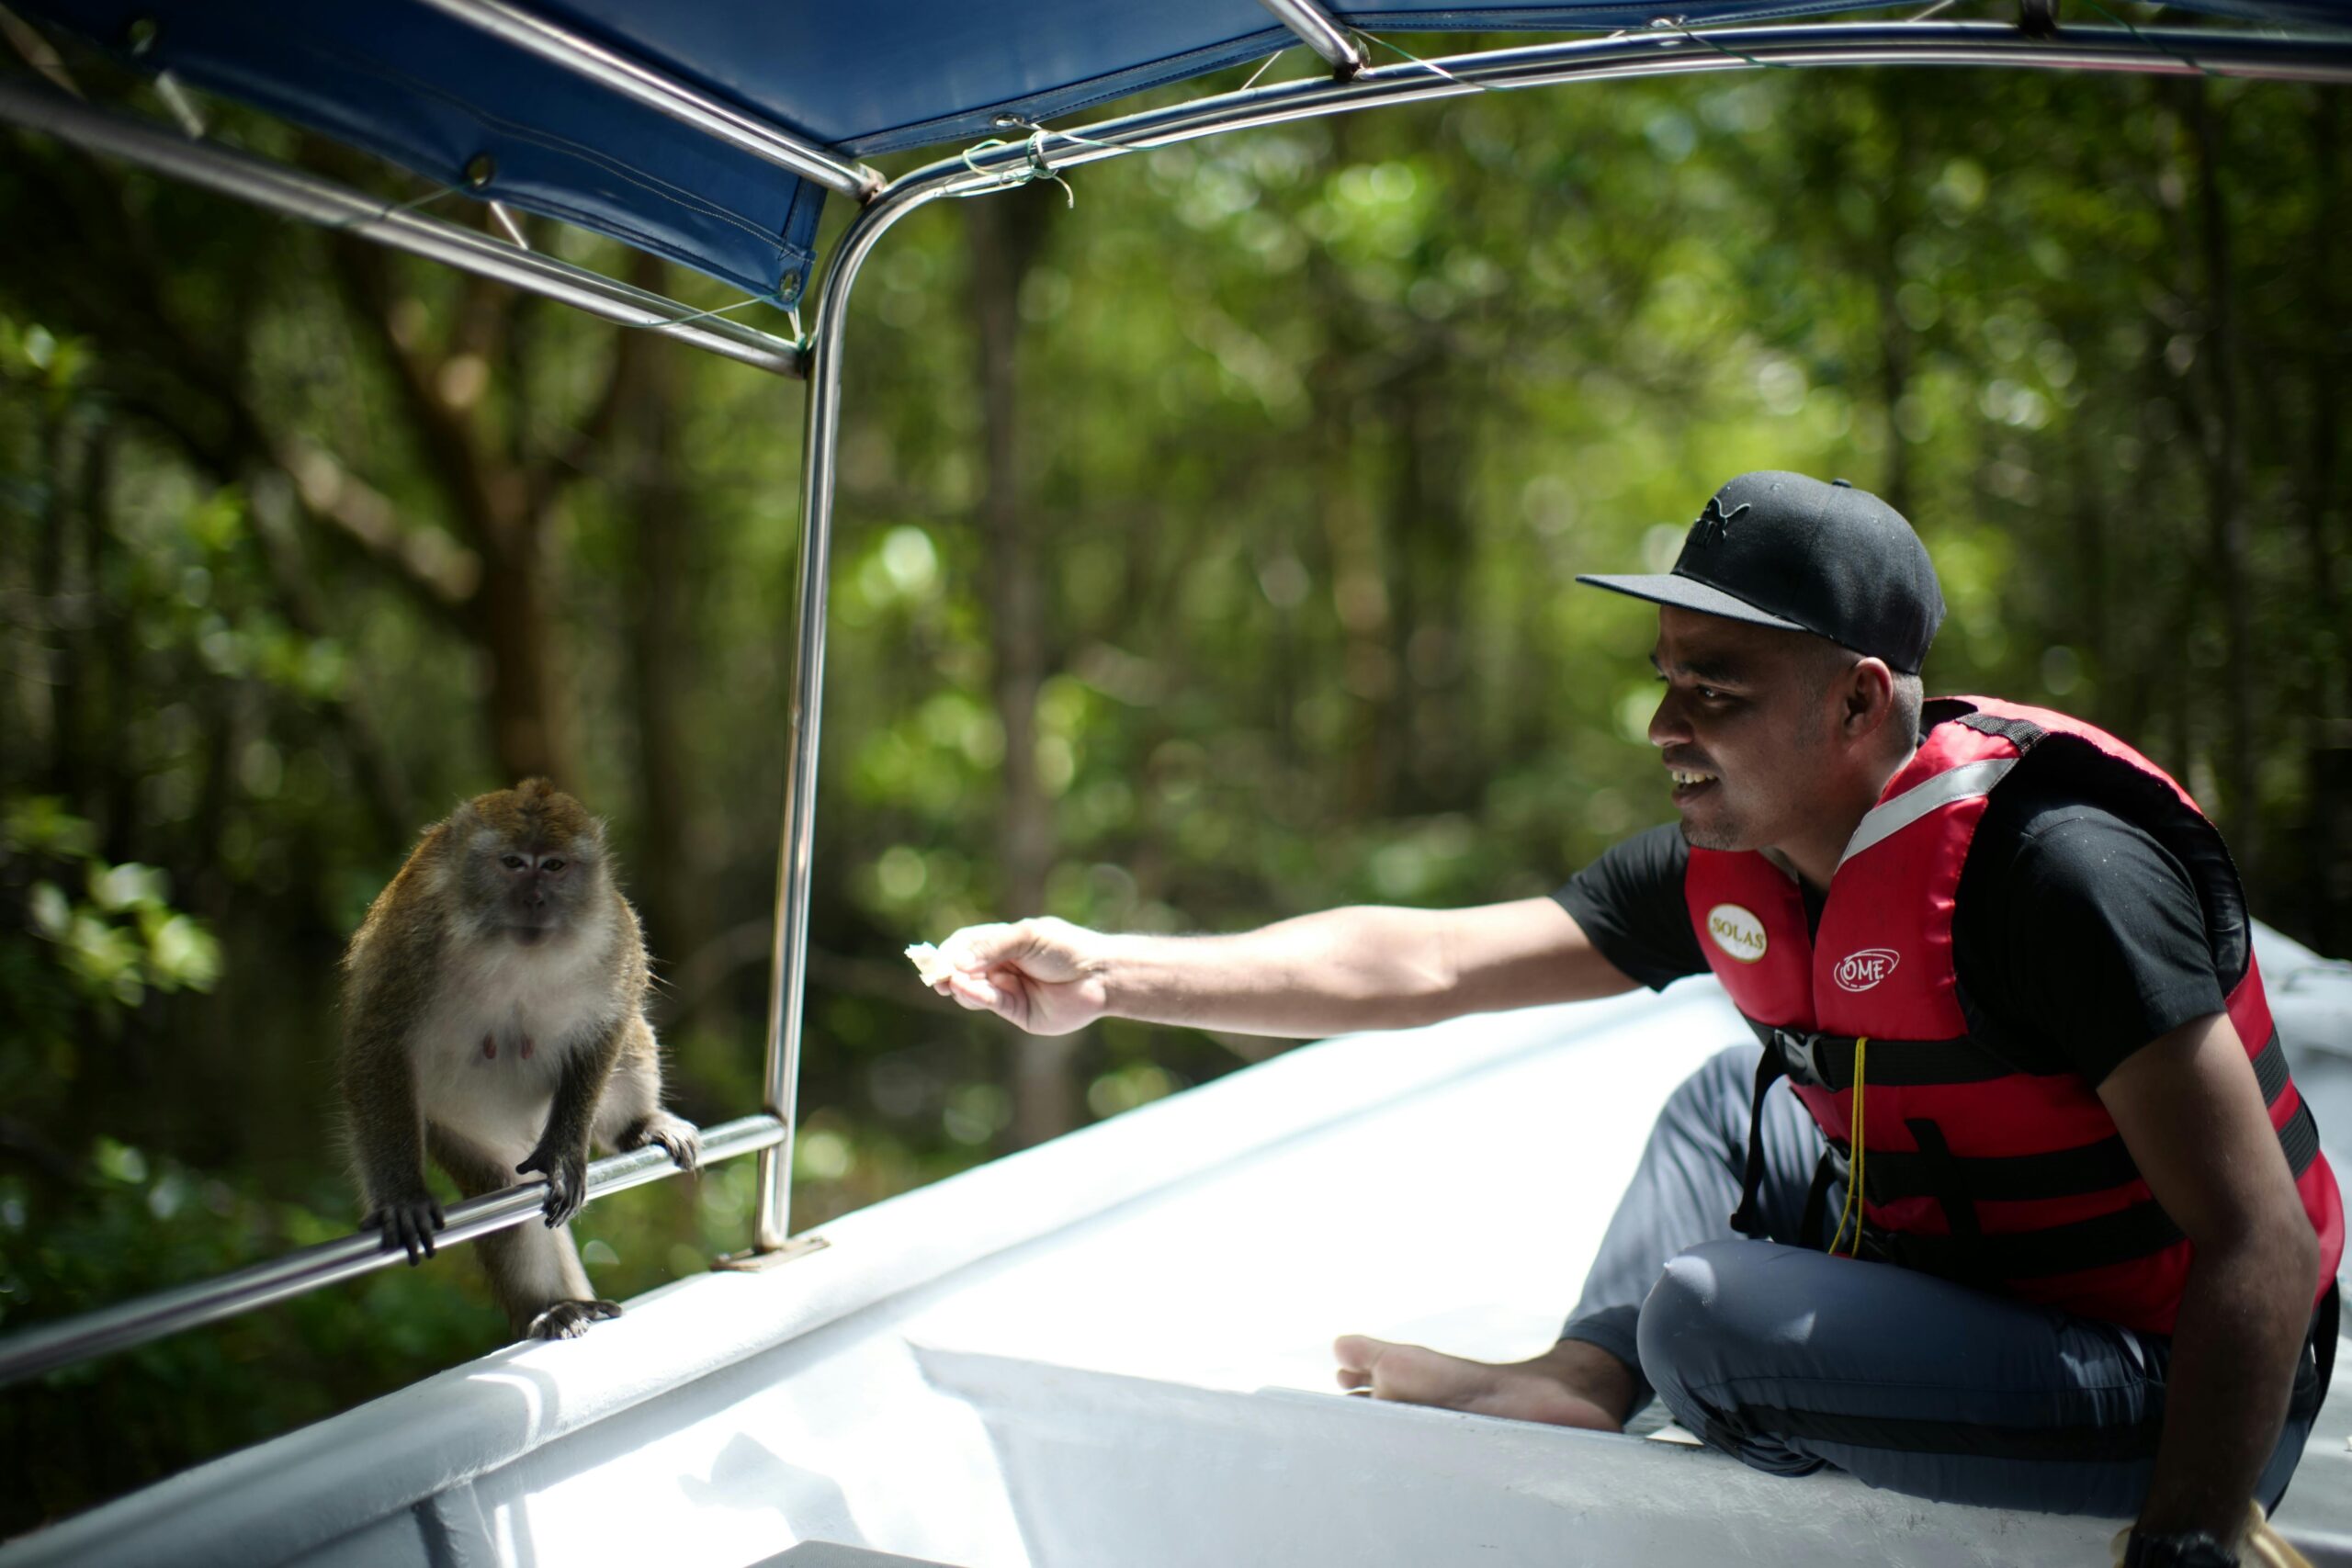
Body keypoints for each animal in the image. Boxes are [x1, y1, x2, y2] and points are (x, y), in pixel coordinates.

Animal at [338, 778, 700, 1340]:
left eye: (553, 865)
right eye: (512, 862)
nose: (534, 899)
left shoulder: (612, 933)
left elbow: (611, 1020)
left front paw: (565, 1152)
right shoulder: (410, 939)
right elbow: (376, 1041)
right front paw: (402, 1196)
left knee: (632, 1039)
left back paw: (638, 1125)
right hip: (465, 1134)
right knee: (505, 1194)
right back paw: (553, 1304)